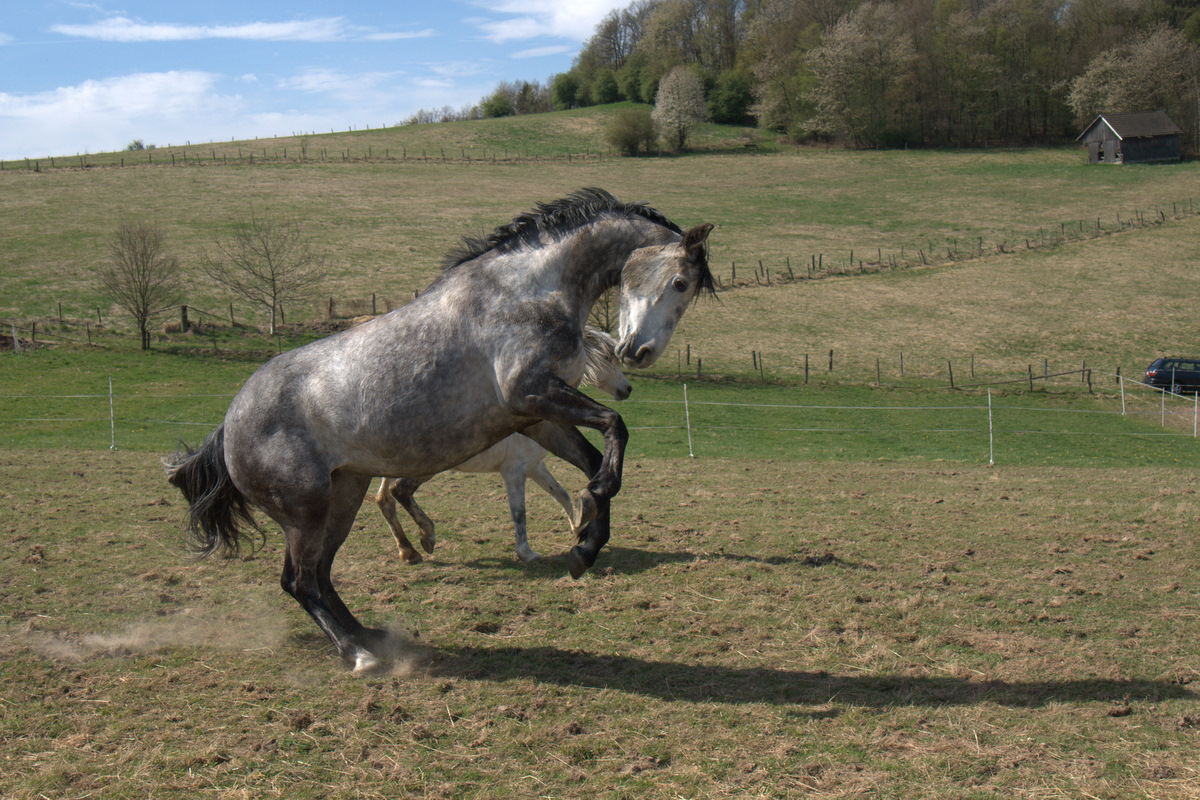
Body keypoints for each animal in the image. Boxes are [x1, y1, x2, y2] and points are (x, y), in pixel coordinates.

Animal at [379, 326, 633, 563]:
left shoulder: (535, 467)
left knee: (384, 500)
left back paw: (408, 551)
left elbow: (560, 493)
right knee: (399, 491)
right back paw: (427, 538)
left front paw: (578, 526)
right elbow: (519, 513)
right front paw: (527, 553)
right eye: (607, 357)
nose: (628, 388)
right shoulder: (514, 470)